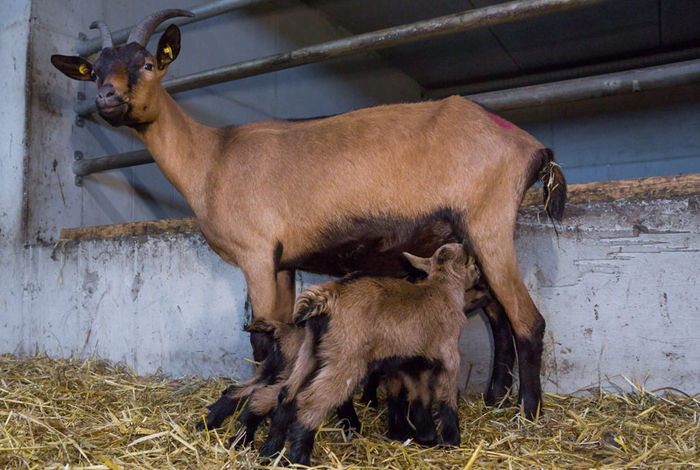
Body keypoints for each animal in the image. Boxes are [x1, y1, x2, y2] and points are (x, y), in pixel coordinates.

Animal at [54, 9, 568, 416]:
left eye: (147, 64)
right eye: (94, 72)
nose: (107, 99)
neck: (213, 156)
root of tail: (532, 147)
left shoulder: (256, 254)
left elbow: (262, 338)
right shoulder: (282, 261)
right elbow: (282, 332)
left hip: (489, 225)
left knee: (528, 320)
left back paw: (528, 413)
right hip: (473, 241)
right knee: (499, 317)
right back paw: (496, 398)